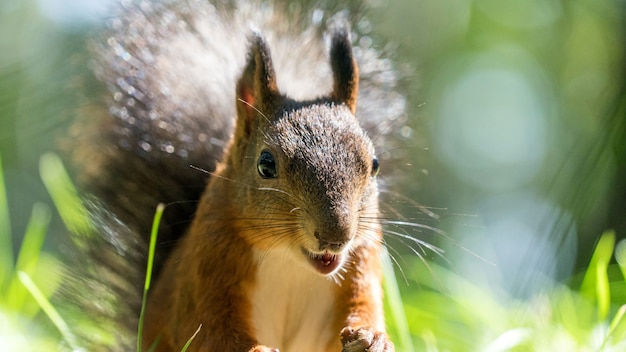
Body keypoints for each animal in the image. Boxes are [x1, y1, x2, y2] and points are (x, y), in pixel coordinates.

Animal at [63, 0, 408, 352]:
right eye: (266, 165)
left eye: (374, 164)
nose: (335, 237)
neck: (289, 259)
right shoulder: (208, 267)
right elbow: (211, 331)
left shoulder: (360, 261)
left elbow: (362, 308)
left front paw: (371, 338)